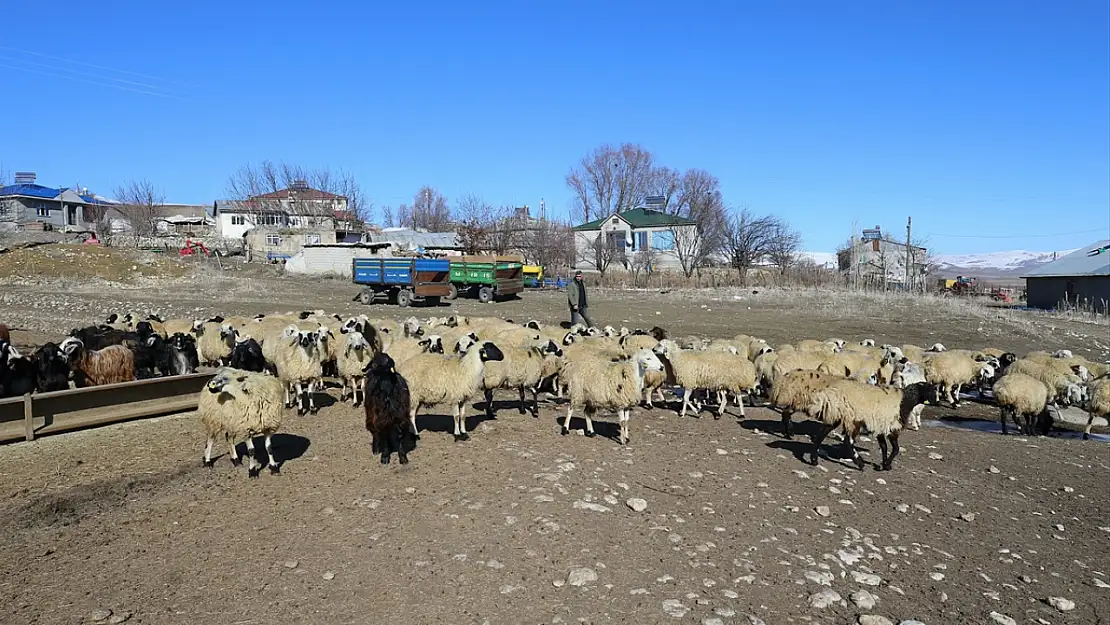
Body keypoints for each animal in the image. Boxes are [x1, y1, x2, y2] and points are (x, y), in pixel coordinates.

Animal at [803, 377, 932, 470]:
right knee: (848, 441)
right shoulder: (893, 428)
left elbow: (884, 447)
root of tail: (830, 393)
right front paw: (887, 465)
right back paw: (860, 464)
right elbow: (896, 449)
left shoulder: (881, 427)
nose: (934, 401)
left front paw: (884, 465)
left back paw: (814, 460)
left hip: (836, 415)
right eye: (930, 389)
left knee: (822, 434)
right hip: (853, 419)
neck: (905, 401)